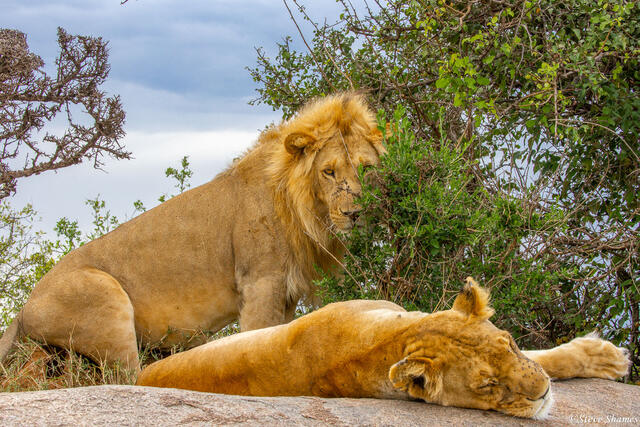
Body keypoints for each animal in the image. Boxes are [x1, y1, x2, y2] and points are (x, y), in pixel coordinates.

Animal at [0, 92, 384, 372]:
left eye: (366, 169)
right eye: (329, 172)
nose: (355, 214)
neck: (305, 211)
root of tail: (22, 309)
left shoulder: (286, 293)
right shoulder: (260, 282)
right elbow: (256, 337)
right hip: (104, 300)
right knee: (130, 377)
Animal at [136, 279, 630, 419]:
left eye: (507, 342)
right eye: (487, 386)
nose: (543, 396)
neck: (389, 340)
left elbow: (542, 357)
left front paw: (606, 356)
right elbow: (545, 358)